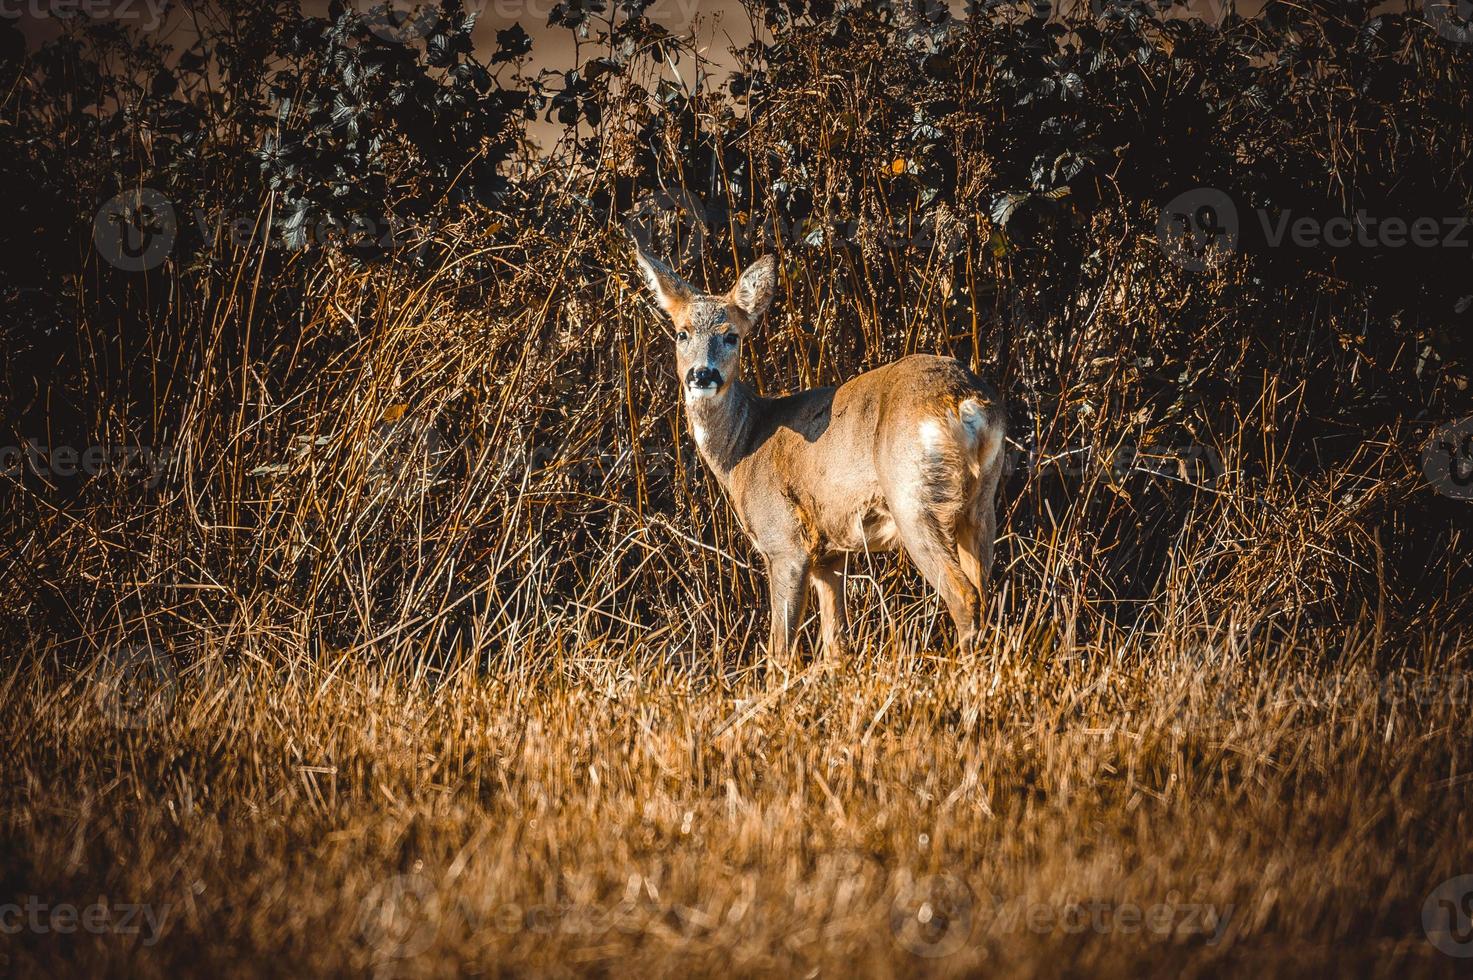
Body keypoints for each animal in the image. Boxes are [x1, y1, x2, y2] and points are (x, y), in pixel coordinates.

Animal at [639, 240, 1007, 660]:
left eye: (731, 335)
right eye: (682, 334)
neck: (744, 448)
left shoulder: (785, 541)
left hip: (912, 497)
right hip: (980, 500)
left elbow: (780, 649)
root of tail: (964, 403)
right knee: (984, 589)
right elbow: (837, 643)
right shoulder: (829, 554)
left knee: (963, 594)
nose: (702, 374)